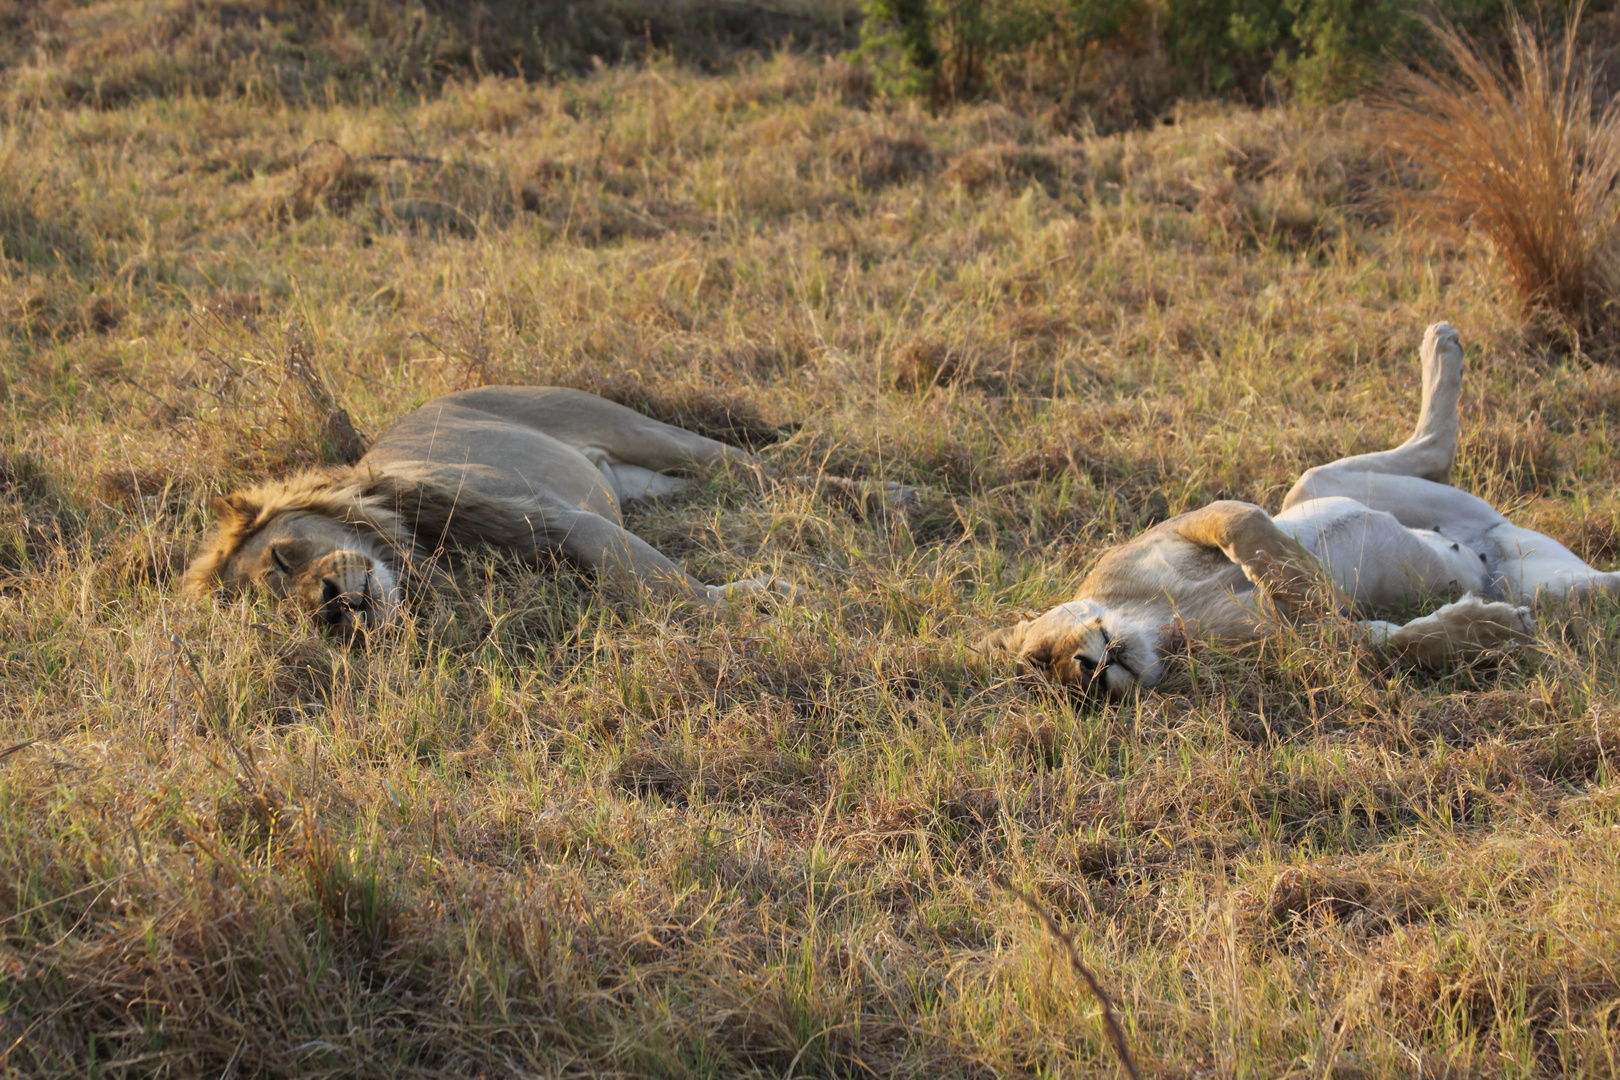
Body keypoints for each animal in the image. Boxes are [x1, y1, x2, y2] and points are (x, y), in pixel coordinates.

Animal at [182, 386, 907, 634]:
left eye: (283, 557)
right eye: (281, 617)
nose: (329, 608)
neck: (419, 563)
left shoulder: (567, 522)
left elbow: (662, 591)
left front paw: (771, 595)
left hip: (649, 433)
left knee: (769, 473)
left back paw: (891, 498)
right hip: (648, 483)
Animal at [978, 320, 1613, 696]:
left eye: (1041, 658)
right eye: (1070, 693)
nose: (1089, 676)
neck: (1156, 622)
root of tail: (1490, 542)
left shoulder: (1186, 523)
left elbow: (1247, 530)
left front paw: (1305, 585)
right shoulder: (1307, 647)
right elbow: (1392, 645)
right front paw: (1488, 627)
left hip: (1311, 487)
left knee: (1410, 455)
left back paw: (1441, 345)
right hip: (1555, 584)